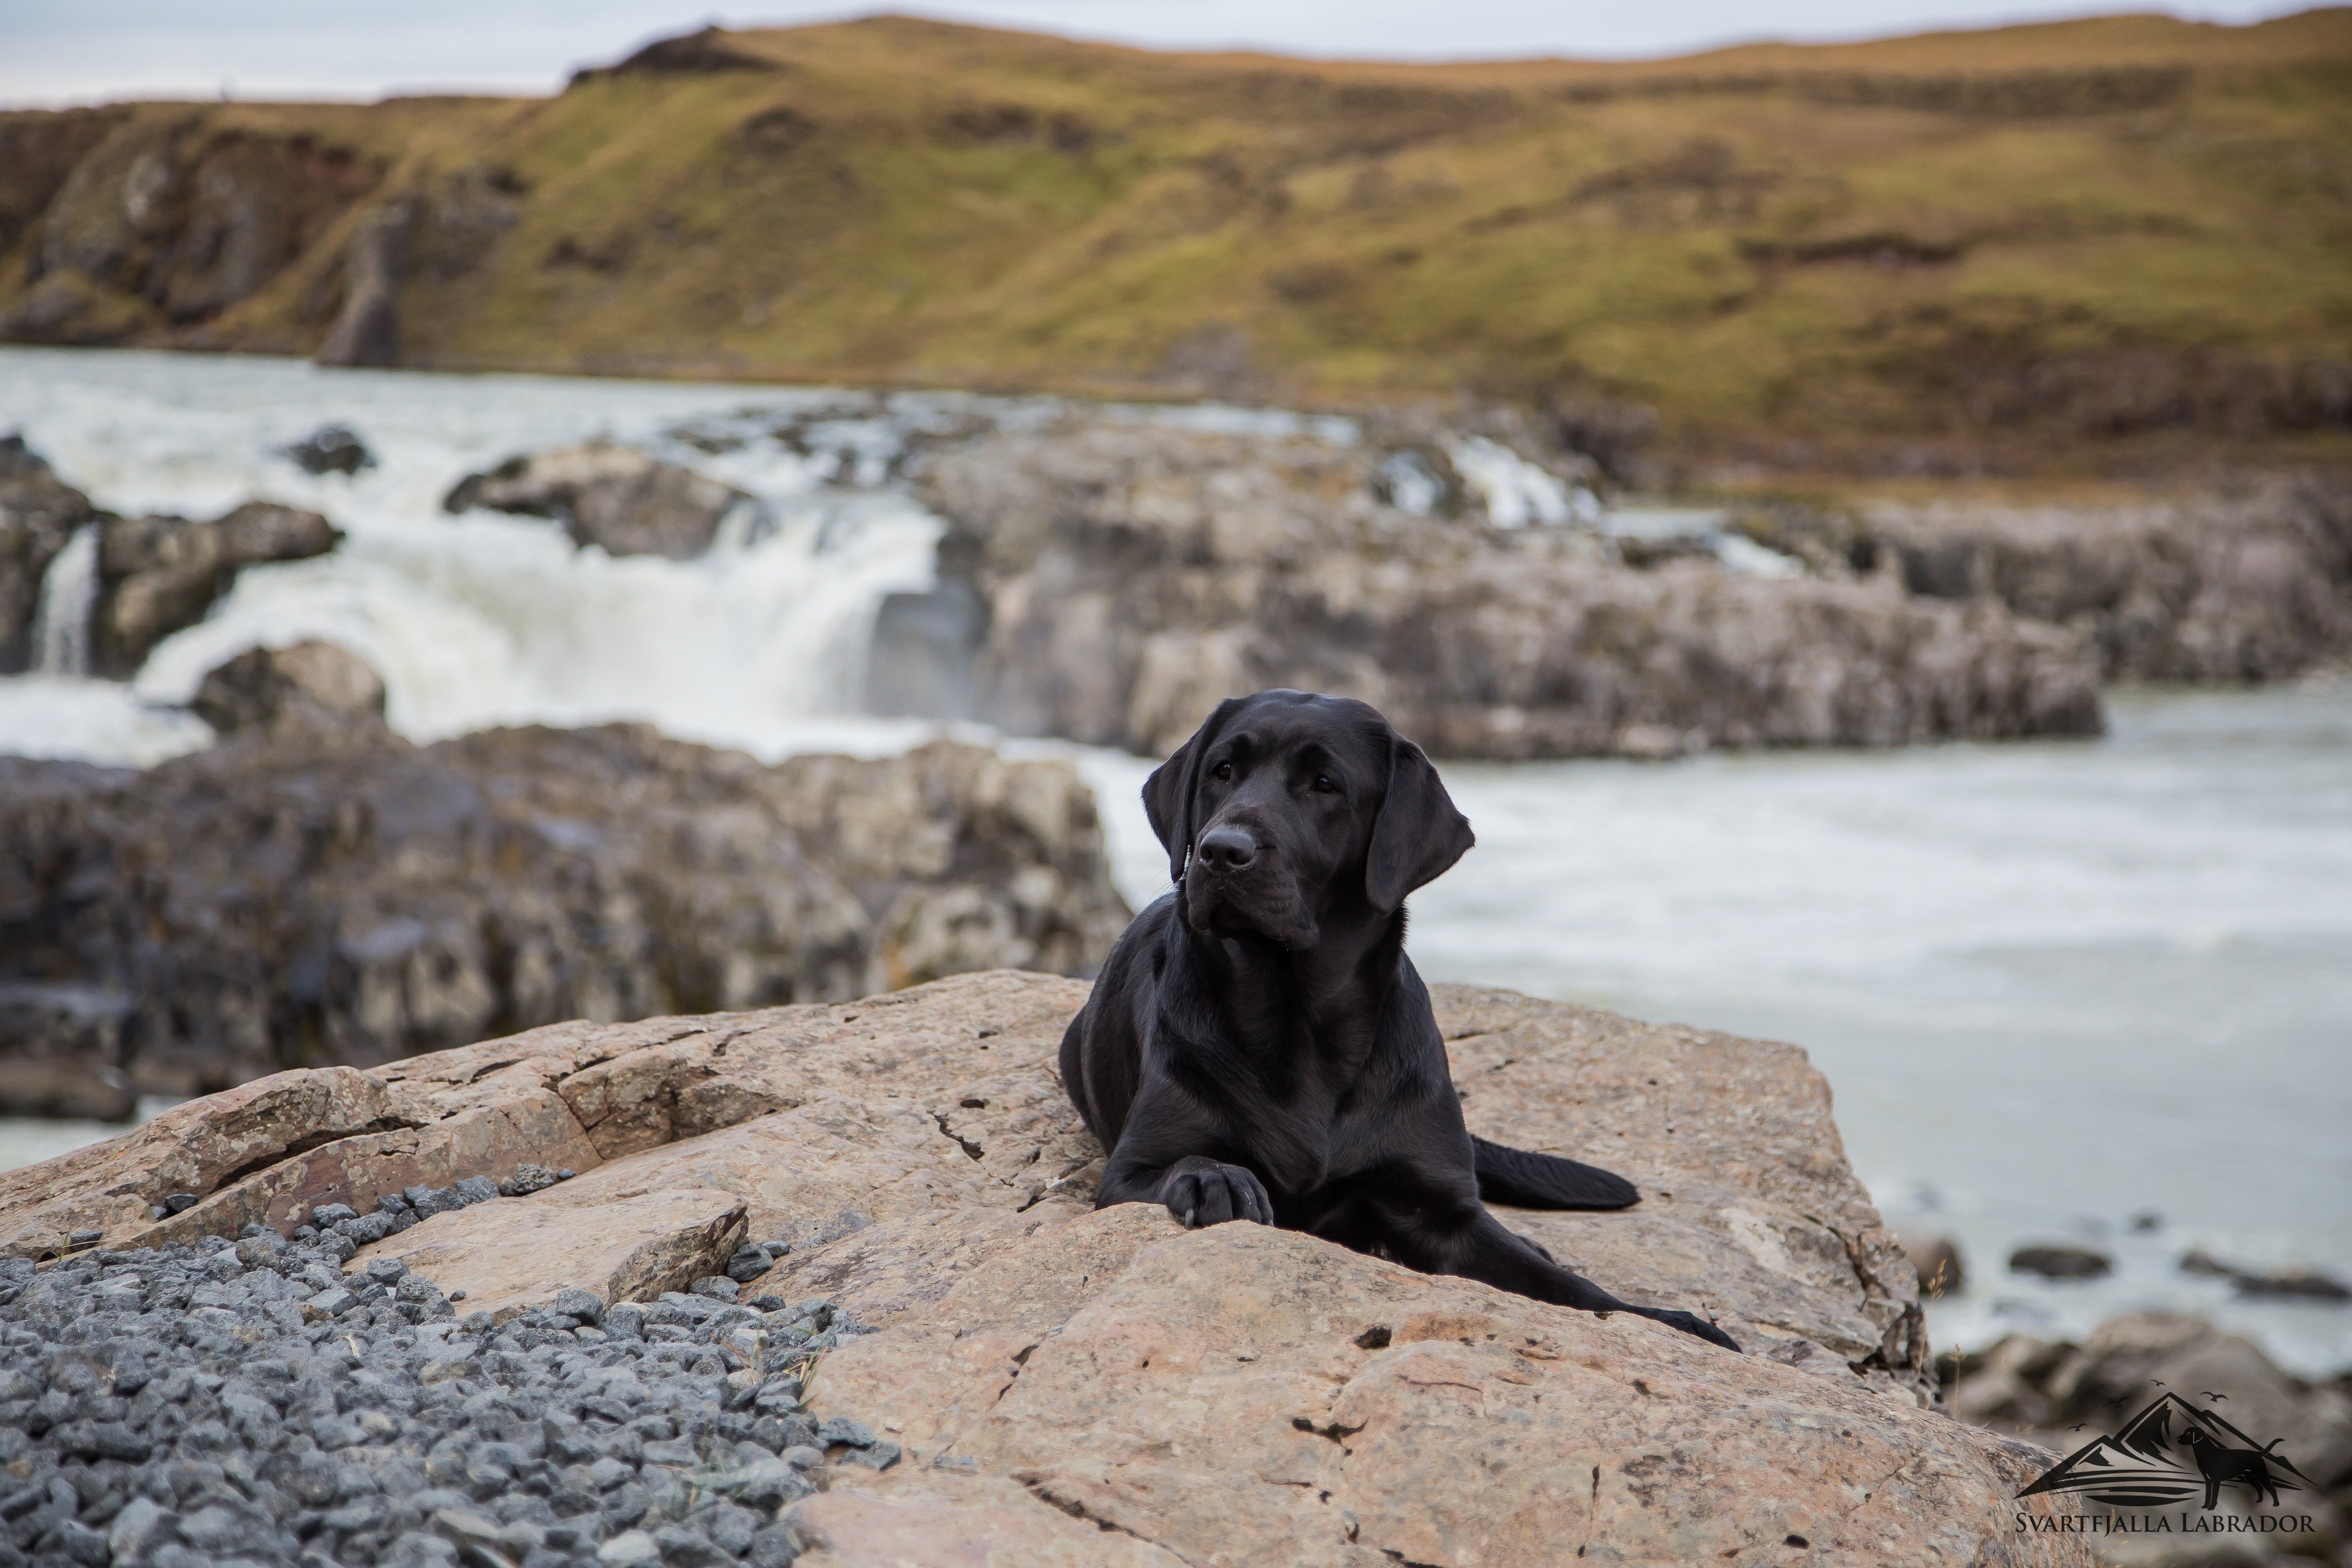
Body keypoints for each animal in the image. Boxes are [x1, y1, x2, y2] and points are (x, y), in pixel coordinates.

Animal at [1058, 691, 1740, 1354]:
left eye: (1326, 784)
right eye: (1222, 771)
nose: (1221, 850)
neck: (1298, 1021)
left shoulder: (1439, 1211)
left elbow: (1567, 1287)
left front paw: (1672, 1322)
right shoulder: (1130, 1171)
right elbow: (1184, 1163)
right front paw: (1215, 1178)